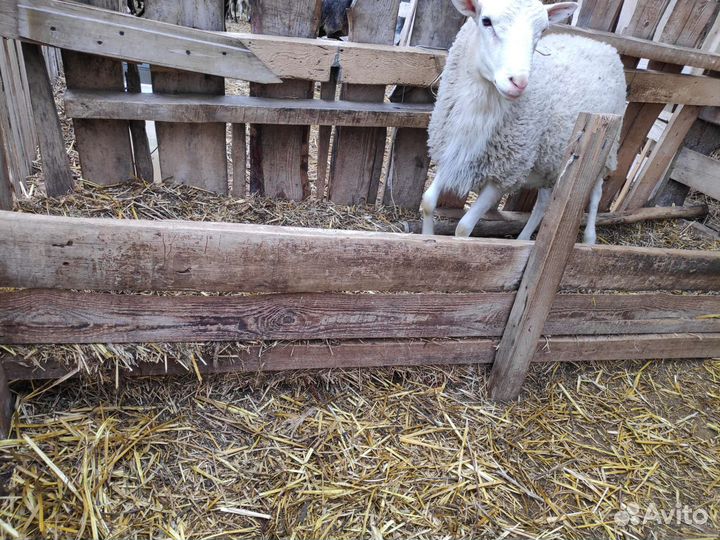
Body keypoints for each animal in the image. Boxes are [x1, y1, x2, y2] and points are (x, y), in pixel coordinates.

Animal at [421, 0, 626, 244]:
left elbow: (463, 228)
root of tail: (604, 45)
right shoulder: (451, 150)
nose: (518, 82)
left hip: (606, 149)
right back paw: (523, 238)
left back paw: (589, 239)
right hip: (551, 160)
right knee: (543, 203)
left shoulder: (505, 174)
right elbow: (428, 201)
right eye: (486, 21)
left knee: (595, 194)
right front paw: (426, 238)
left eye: (543, 30)